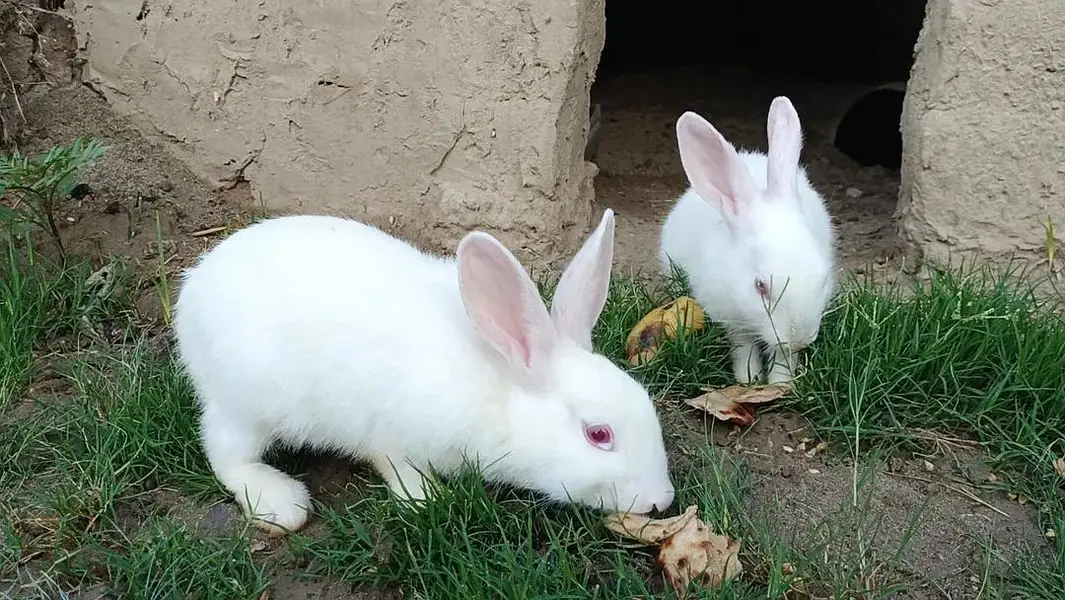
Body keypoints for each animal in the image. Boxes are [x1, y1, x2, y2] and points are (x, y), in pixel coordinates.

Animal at [173, 209, 676, 535]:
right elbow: (397, 468)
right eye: (598, 435)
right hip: (249, 403)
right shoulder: (396, 438)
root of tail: (191, 300)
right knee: (224, 452)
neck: (500, 386)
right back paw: (281, 502)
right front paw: (428, 500)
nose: (661, 500)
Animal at [659, 97, 837, 386]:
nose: (800, 336)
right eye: (760, 286)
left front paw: (781, 384)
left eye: (823, 279)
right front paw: (749, 380)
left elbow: (783, 356)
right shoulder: (731, 318)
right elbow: (744, 348)